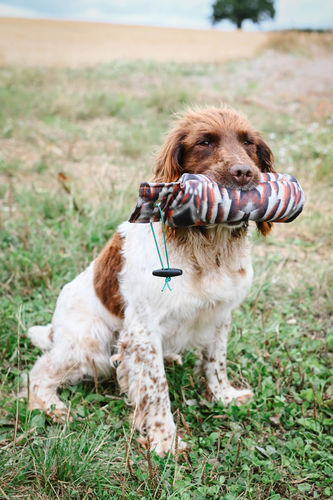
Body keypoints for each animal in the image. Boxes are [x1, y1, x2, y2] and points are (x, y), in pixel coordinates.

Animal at [26, 106, 274, 458]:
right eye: (205, 142)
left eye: (248, 142)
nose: (244, 173)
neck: (207, 248)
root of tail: (54, 330)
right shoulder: (143, 332)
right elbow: (157, 389)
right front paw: (164, 441)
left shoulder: (220, 314)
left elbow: (215, 362)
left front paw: (224, 397)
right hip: (90, 346)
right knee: (39, 372)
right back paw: (51, 407)